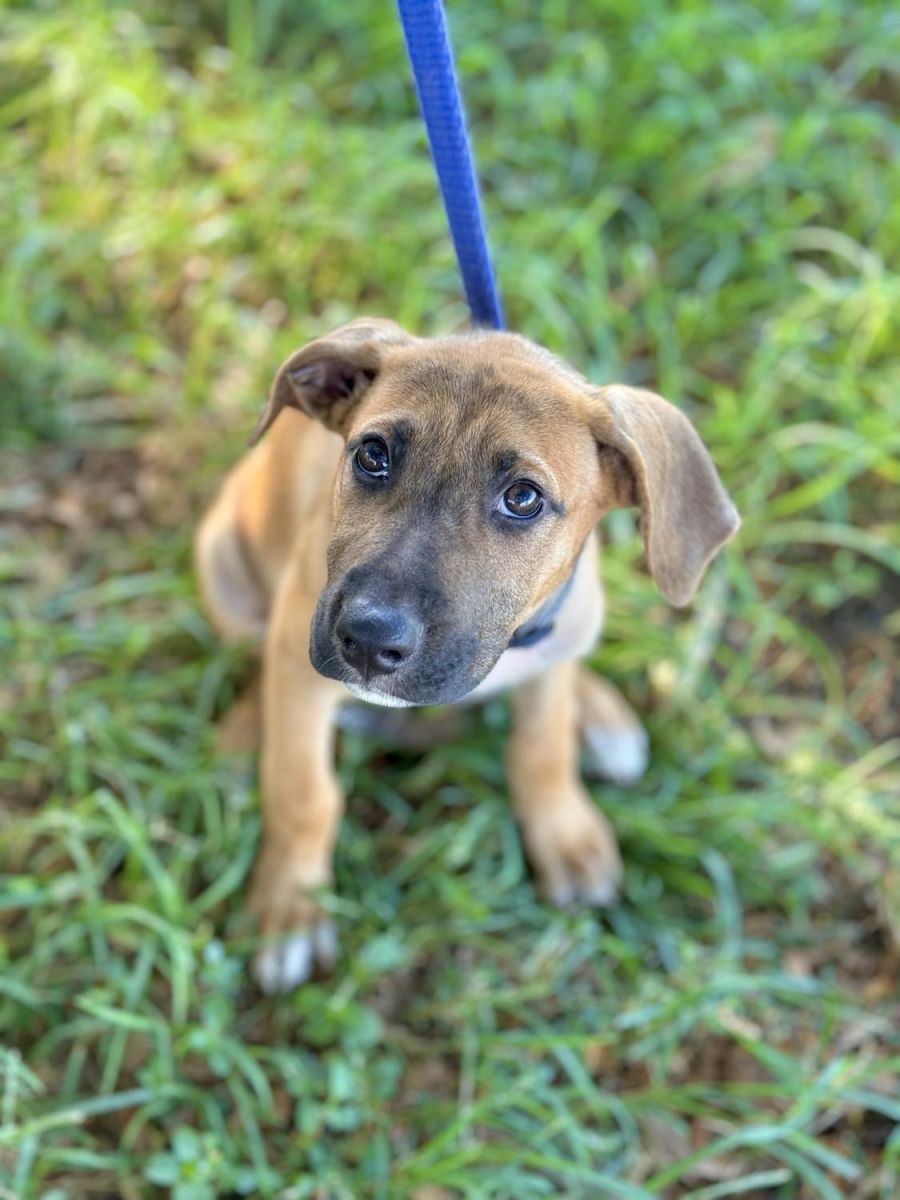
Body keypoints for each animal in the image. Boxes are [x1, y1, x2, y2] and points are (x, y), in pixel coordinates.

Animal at [195, 318, 739, 992]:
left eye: (523, 498)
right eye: (372, 456)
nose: (368, 639)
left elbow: (541, 750)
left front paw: (564, 832)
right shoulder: (302, 661)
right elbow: (304, 793)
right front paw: (291, 911)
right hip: (222, 564)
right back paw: (245, 733)